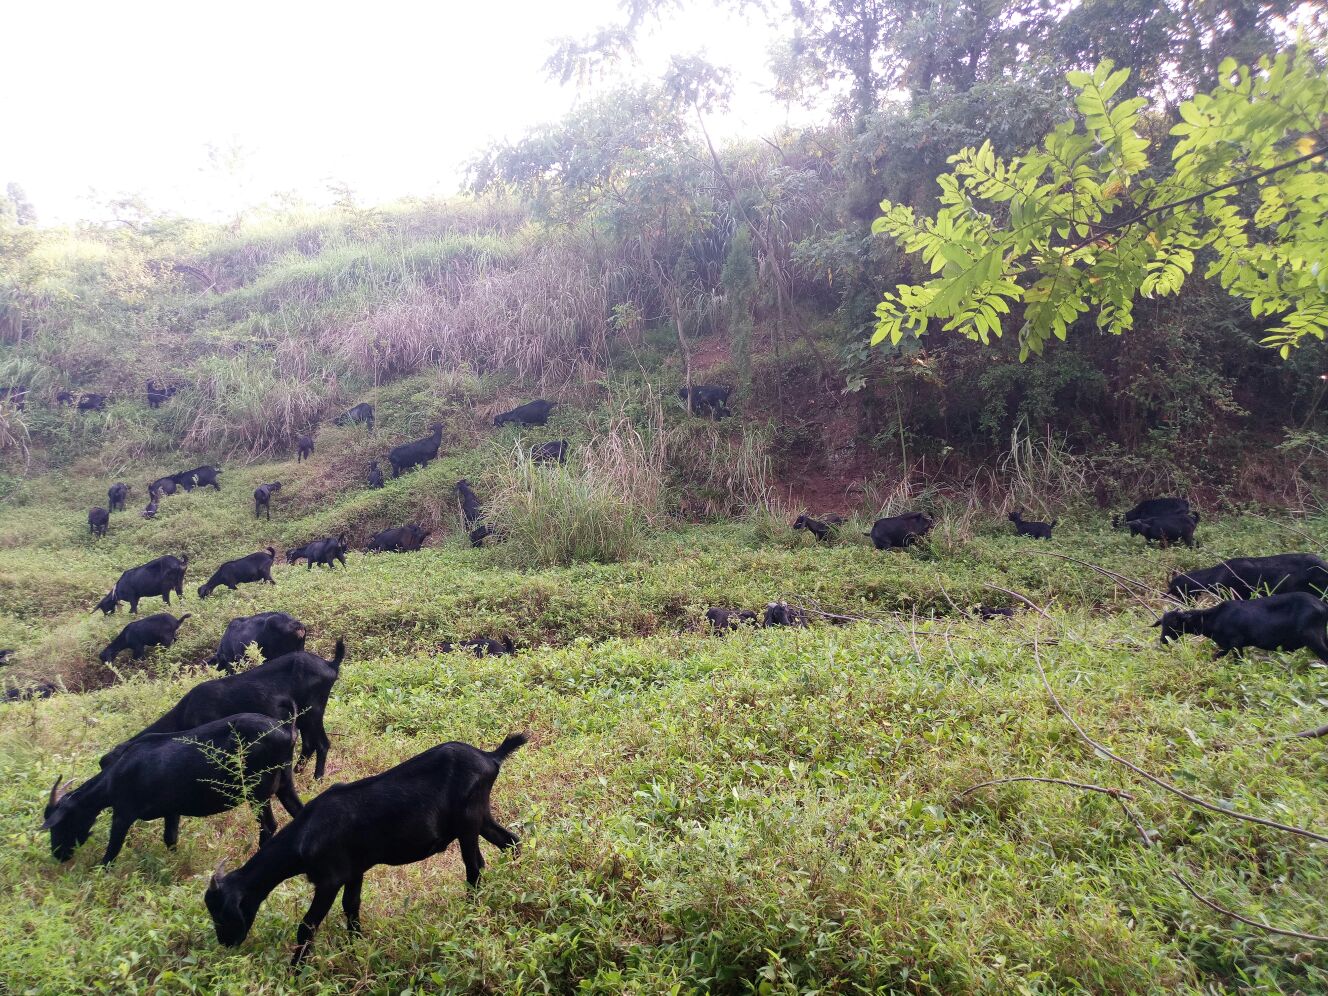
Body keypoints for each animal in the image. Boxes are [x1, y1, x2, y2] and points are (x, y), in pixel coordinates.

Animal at [42, 711, 302, 871]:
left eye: (60, 824)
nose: (58, 854)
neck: (113, 777)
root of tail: (287, 732)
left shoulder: (124, 812)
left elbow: (112, 851)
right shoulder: (172, 810)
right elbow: (170, 838)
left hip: (258, 791)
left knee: (268, 826)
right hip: (285, 784)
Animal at [102, 640, 345, 780]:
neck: (185, 712)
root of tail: (330, 664)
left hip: (314, 709)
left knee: (322, 743)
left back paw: (317, 778)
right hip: (303, 714)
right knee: (310, 743)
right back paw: (297, 772)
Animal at [201, 733, 523, 966]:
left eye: (221, 912)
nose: (226, 943)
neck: (305, 835)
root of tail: (490, 757)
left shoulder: (329, 879)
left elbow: (307, 925)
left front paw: (295, 971)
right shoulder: (355, 870)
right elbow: (351, 907)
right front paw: (356, 947)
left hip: (468, 822)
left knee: (475, 867)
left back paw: (471, 910)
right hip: (480, 817)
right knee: (510, 841)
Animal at [1152, 592, 1328, 664]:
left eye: (1174, 623)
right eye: (1162, 624)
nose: (1163, 641)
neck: (1214, 618)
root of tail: (1322, 606)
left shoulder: (1234, 643)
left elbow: (1230, 659)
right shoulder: (1232, 645)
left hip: (1312, 636)